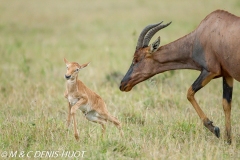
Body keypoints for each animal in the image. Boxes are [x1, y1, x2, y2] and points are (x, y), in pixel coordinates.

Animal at [119, 10, 239, 145]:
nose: (122, 84)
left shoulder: (210, 71)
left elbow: (189, 93)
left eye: (136, 59)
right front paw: (228, 140)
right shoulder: (227, 75)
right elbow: (226, 104)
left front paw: (214, 128)